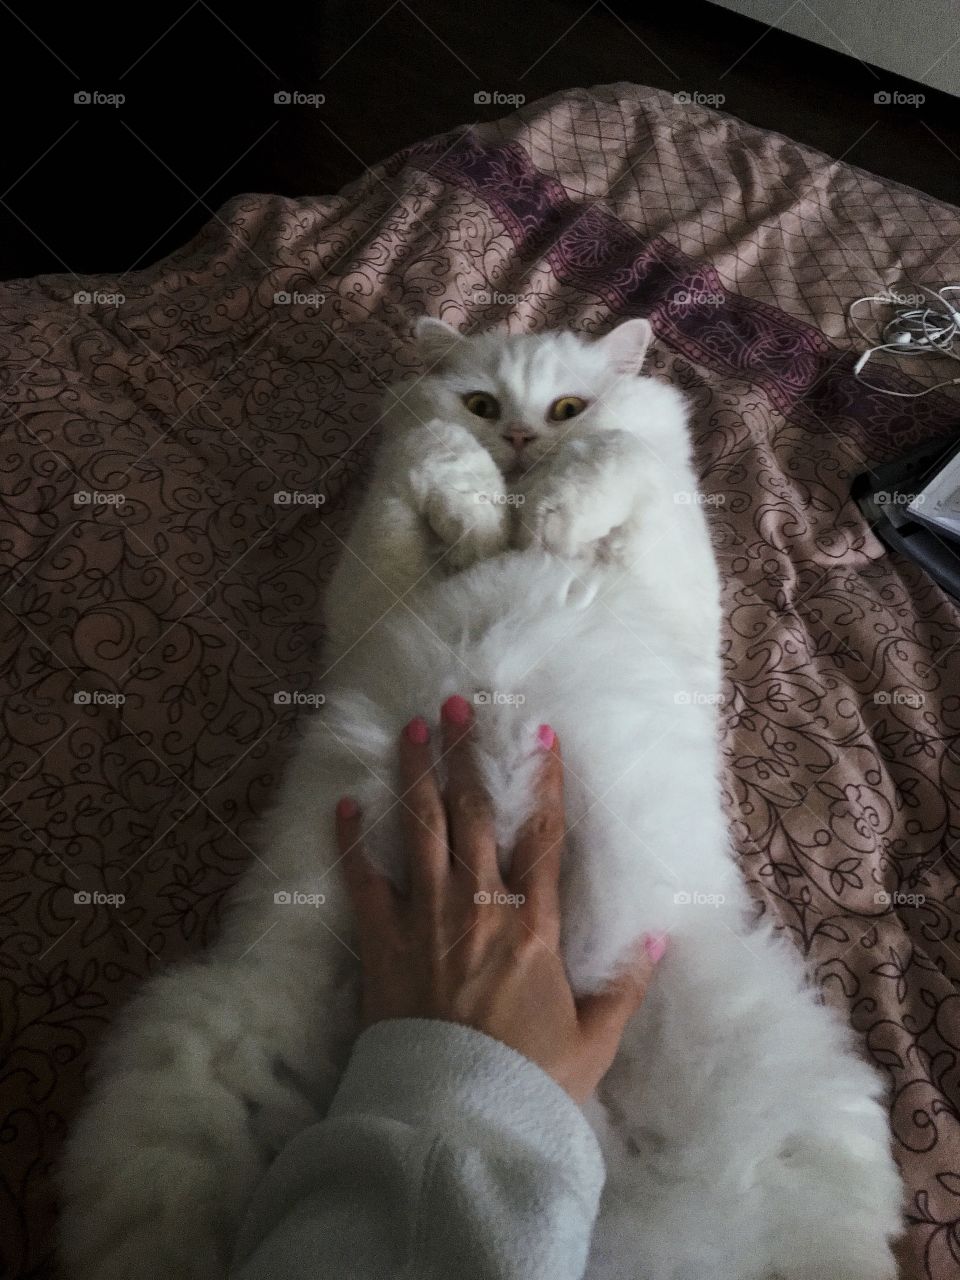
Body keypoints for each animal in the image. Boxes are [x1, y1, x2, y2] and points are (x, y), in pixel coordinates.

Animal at [60, 317, 901, 1280]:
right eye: (485, 404)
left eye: (567, 407)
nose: (524, 441)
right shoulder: (375, 560)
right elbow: (430, 451)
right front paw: (486, 515)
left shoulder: (669, 546)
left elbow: (620, 458)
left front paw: (547, 517)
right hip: (204, 1067)